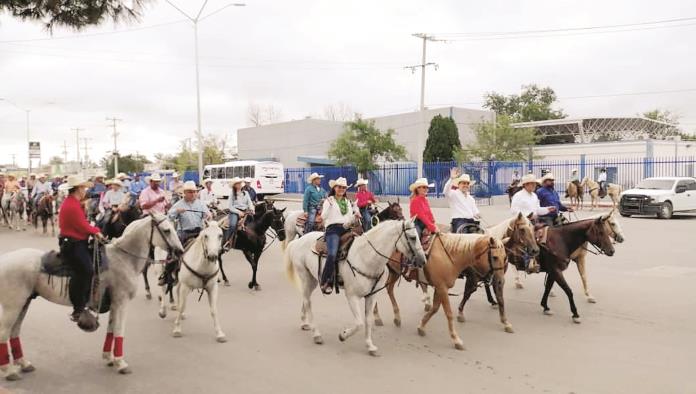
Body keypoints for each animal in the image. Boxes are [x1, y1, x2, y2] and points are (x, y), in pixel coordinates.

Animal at [0, 214, 184, 380]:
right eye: (167, 230)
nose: (180, 251)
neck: (124, 258)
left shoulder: (115, 304)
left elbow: (111, 330)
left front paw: (109, 357)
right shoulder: (122, 302)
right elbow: (119, 331)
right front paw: (120, 362)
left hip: (24, 303)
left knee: (14, 332)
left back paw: (24, 363)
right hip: (13, 306)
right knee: (4, 332)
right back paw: (9, 370)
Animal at [282, 220, 424, 356]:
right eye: (412, 237)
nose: (423, 260)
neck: (366, 257)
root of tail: (297, 241)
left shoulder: (372, 296)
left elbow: (368, 320)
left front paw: (370, 346)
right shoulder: (352, 296)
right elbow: (359, 323)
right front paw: (343, 335)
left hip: (313, 280)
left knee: (305, 299)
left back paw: (305, 323)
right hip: (305, 277)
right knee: (307, 301)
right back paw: (316, 334)